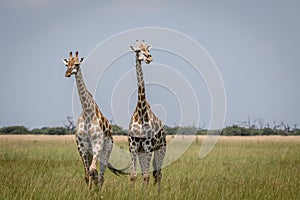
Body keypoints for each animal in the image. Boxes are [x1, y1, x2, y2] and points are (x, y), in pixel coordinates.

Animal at [62, 50, 125, 190]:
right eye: (67, 64)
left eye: (77, 64)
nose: (67, 73)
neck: (87, 114)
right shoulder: (82, 147)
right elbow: (87, 174)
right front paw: (88, 191)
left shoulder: (98, 144)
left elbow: (92, 171)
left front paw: (94, 191)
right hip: (91, 152)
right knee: (95, 173)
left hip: (106, 150)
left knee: (101, 175)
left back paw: (99, 190)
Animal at [127, 39, 168, 191]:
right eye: (138, 50)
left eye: (148, 50)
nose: (149, 57)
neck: (141, 113)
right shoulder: (133, 147)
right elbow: (134, 175)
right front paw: (132, 193)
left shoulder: (149, 147)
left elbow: (146, 175)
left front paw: (145, 193)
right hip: (142, 152)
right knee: (152, 173)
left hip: (161, 148)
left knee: (158, 174)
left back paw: (158, 192)